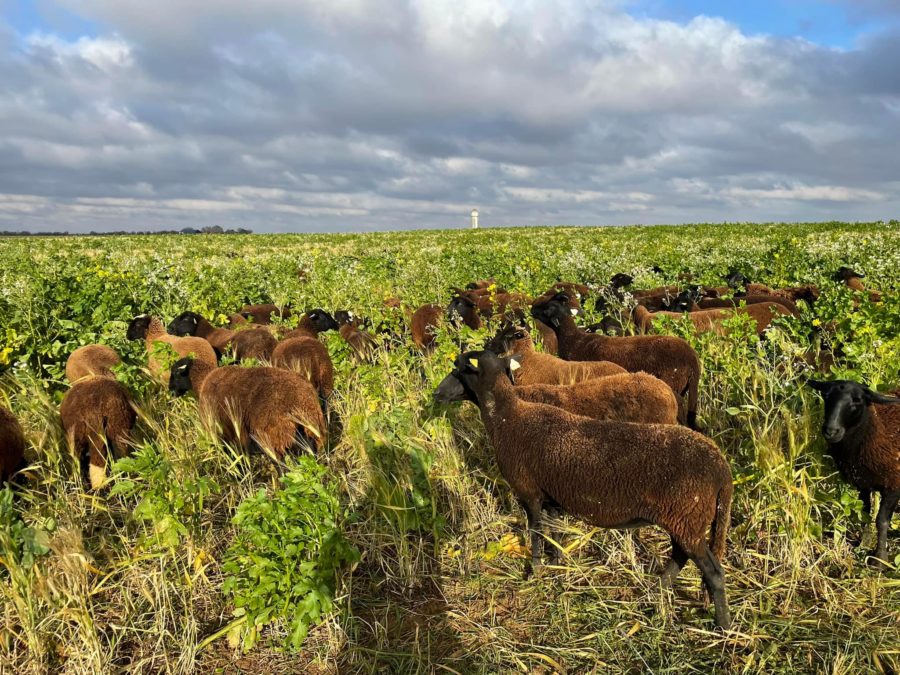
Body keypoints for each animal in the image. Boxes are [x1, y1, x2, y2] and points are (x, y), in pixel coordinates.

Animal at [169, 356, 326, 456]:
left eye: (176, 373)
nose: (170, 391)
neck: (203, 381)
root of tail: (297, 402)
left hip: (273, 439)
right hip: (310, 432)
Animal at [468, 352, 736, 632]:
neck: (510, 414)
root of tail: (721, 468)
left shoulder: (532, 490)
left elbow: (538, 532)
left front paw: (537, 569)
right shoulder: (550, 492)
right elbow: (554, 530)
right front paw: (556, 562)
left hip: (687, 518)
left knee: (709, 570)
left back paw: (722, 625)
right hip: (685, 519)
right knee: (681, 556)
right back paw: (656, 592)